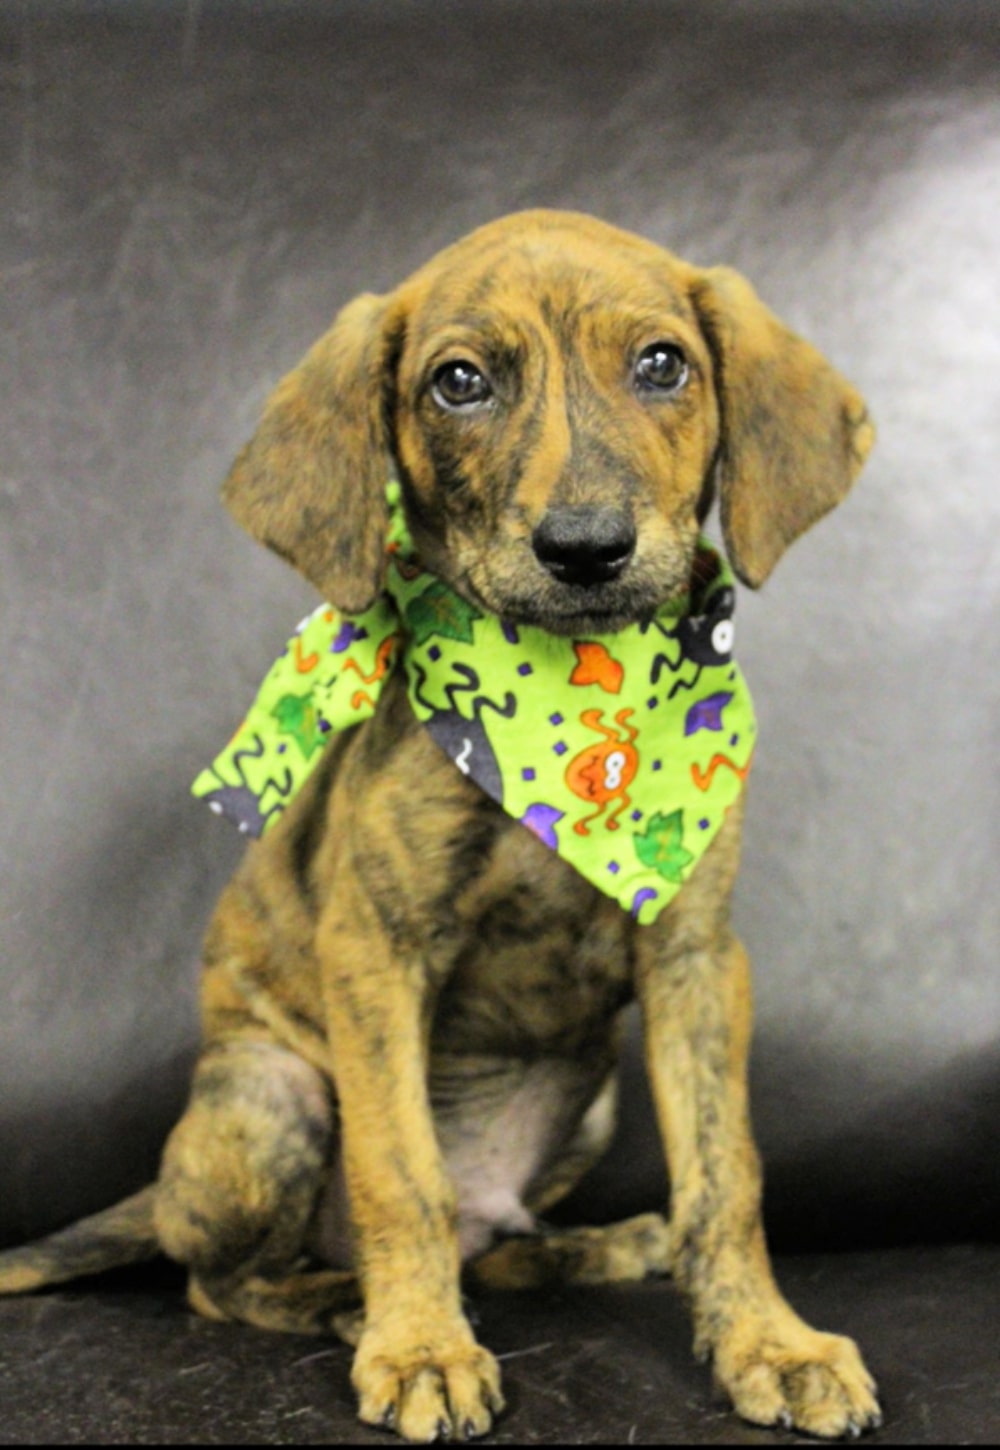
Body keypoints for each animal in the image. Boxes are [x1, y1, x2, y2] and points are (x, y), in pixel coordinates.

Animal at [0, 210, 875, 1444]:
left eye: (664, 364)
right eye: (459, 383)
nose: (585, 547)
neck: (569, 707)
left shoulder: (697, 958)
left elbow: (724, 1177)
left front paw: (768, 1342)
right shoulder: (375, 953)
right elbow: (400, 1172)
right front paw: (417, 1347)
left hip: (590, 1106)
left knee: (488, 1240)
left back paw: (593, 1248)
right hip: (268, 1092)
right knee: (222, 1278)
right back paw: (344, 1300)